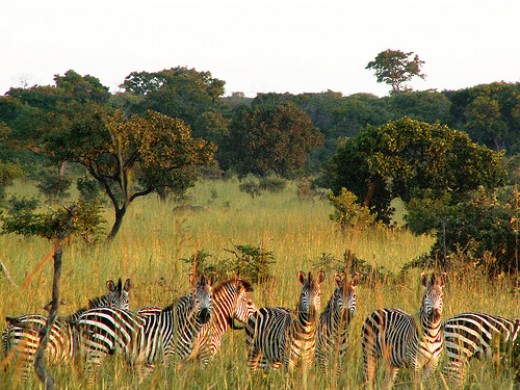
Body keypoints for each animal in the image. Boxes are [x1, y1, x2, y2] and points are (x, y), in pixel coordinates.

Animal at [73, 272, 213, 382]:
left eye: (210, 297)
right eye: (195, 298)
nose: (205, 315)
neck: (181, 325)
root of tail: (83, 316)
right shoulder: (169, 357)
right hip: (96, 349)